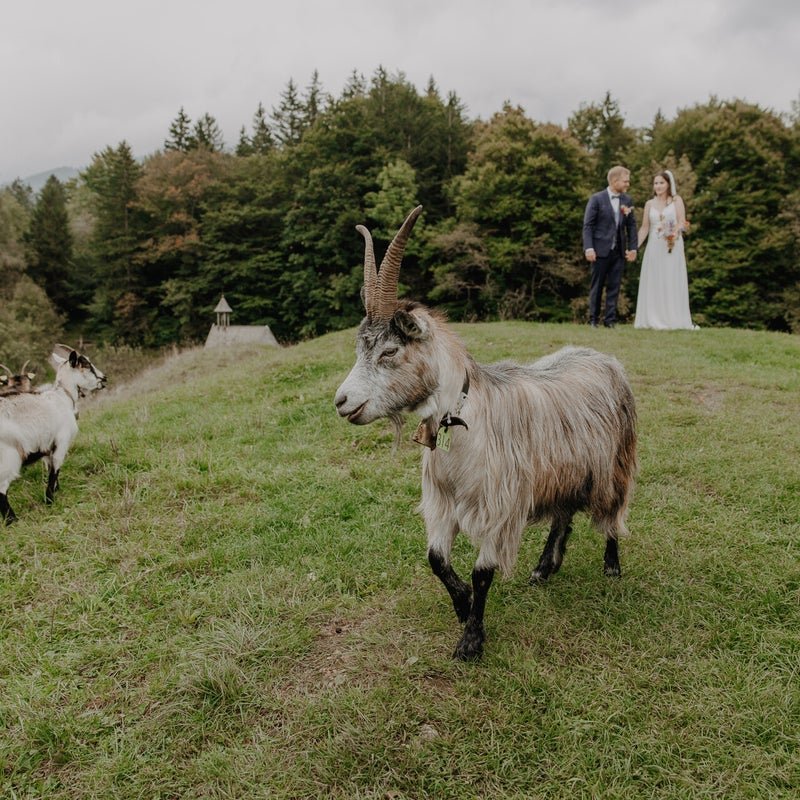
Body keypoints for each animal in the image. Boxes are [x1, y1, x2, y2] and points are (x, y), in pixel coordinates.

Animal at [0, 347, 107, 525]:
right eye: (86, 364)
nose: (104, 378)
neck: (63, 397)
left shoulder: (47, 447)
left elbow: (50, 468)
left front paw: (56, 491)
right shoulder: (61, 441)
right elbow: (55, 469)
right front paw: (50, 501)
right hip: (8, 457)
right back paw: (12, 520)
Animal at [334, 207, 637, 661]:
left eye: (389, 350)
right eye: (360, 349)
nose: (341, 401)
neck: (462, 422)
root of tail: (604, 358)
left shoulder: (499, 505)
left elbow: (483, 573)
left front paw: (471, 641)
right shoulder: (443, 504)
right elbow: (436, 560)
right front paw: (462, 606)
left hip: (612, 463)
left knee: (612, 514)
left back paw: (611, 565)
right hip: (560, 470)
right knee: (563, 516)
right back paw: (544, 568)